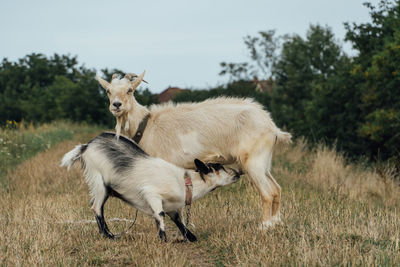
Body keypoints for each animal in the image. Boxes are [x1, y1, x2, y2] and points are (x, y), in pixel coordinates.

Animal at [60, 133, 241, 242]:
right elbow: (159, 215)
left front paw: (191, 238)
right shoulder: (152, 194)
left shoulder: (173, 207)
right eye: (218, 167)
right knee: (97, 207)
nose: (238, 173)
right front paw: (164, 240)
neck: (185, 182)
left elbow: (179, 222)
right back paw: (109, 235)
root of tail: (86, 146)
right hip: (98, 181)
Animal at [95, 71, 292, 228]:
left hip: (253, 162)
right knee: (277, 189)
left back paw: (264, 226)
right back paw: (276, 222)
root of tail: (272, 127)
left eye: (130, 90)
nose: (116, 105)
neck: (147, 125)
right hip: (264, 162)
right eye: (108, 91)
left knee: (267, 193)